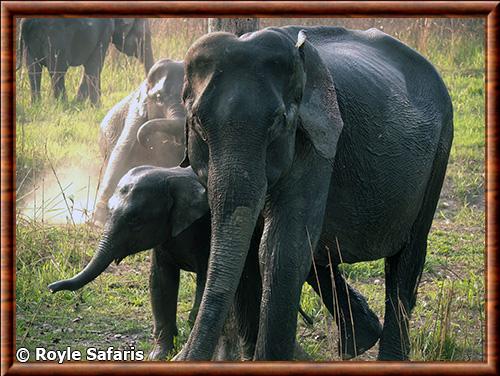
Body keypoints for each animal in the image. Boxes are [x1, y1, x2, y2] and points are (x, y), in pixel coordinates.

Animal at [17, 17, 153, 103]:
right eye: (143, 36)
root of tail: (26, 21)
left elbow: (92, 67)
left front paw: (79, 103)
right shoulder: (104, 32)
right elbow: (95, 66)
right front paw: (94, 106)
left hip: (29, 43)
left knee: (34, 71)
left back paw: (37, 105)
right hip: (55, 37)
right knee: (57, 71)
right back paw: (63, 105)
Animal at [48, 166, 380, 360]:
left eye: (136, 221)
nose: (51, 288)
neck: (169, 177)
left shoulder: (207, 225)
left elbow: (207, 277)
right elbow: (160, 281)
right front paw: (159, 356)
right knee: (316, 271)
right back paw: (360, 343)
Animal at [164, 27, 454, 362]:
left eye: (278, 122)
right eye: (197, 121)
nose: (177, 357)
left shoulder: (316, 140)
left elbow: (281, 248)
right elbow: (249, 244)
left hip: (440, 149)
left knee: (407, 257)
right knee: (321, 251)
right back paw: (362, 340)